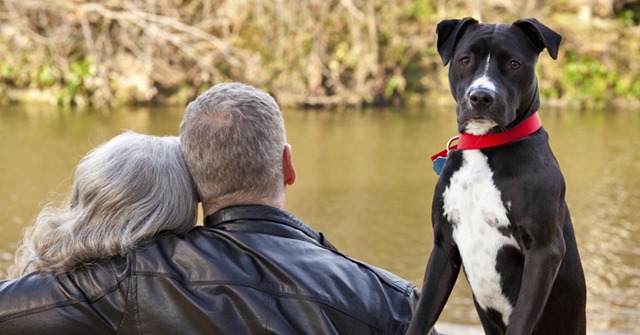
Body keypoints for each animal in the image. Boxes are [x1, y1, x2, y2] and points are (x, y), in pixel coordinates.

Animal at [408, 18, 588, 335]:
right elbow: (422, 314)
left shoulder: (544, 250)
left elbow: (520, 320)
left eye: (514, 64)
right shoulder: (443, 247)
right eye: (465, 60)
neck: (485, 145)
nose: (481, 96)